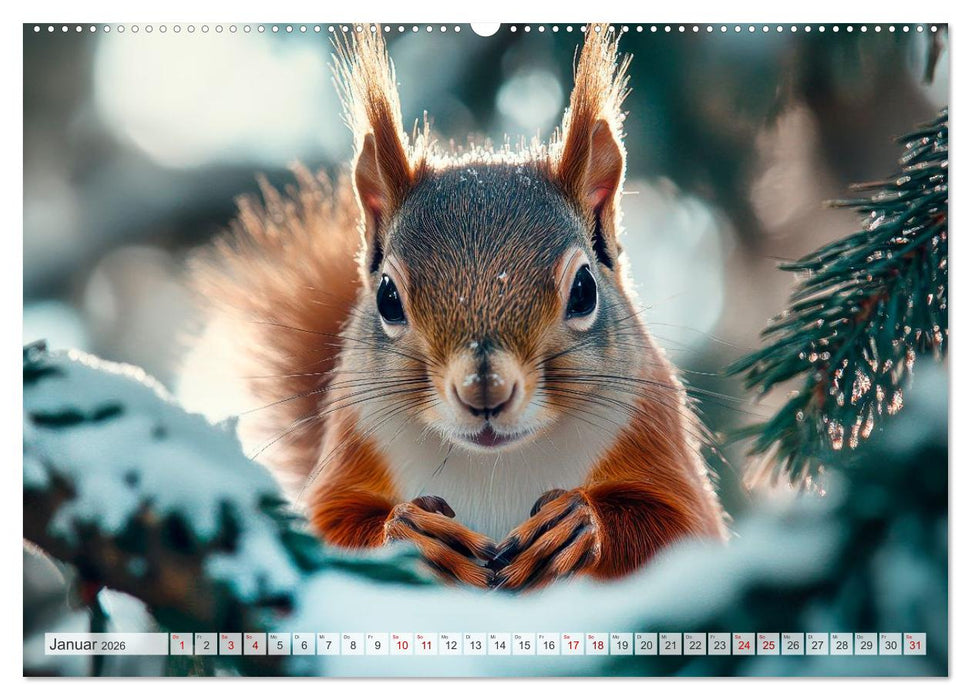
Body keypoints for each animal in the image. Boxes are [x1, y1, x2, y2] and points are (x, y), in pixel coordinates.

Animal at [186, 24, 728, 591]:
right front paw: (411, 533)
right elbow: (331, 526)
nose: (482, 389)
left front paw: (577, 524)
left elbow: (680, 526)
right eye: (387, 297)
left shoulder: (653, 431)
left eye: (583, 290)